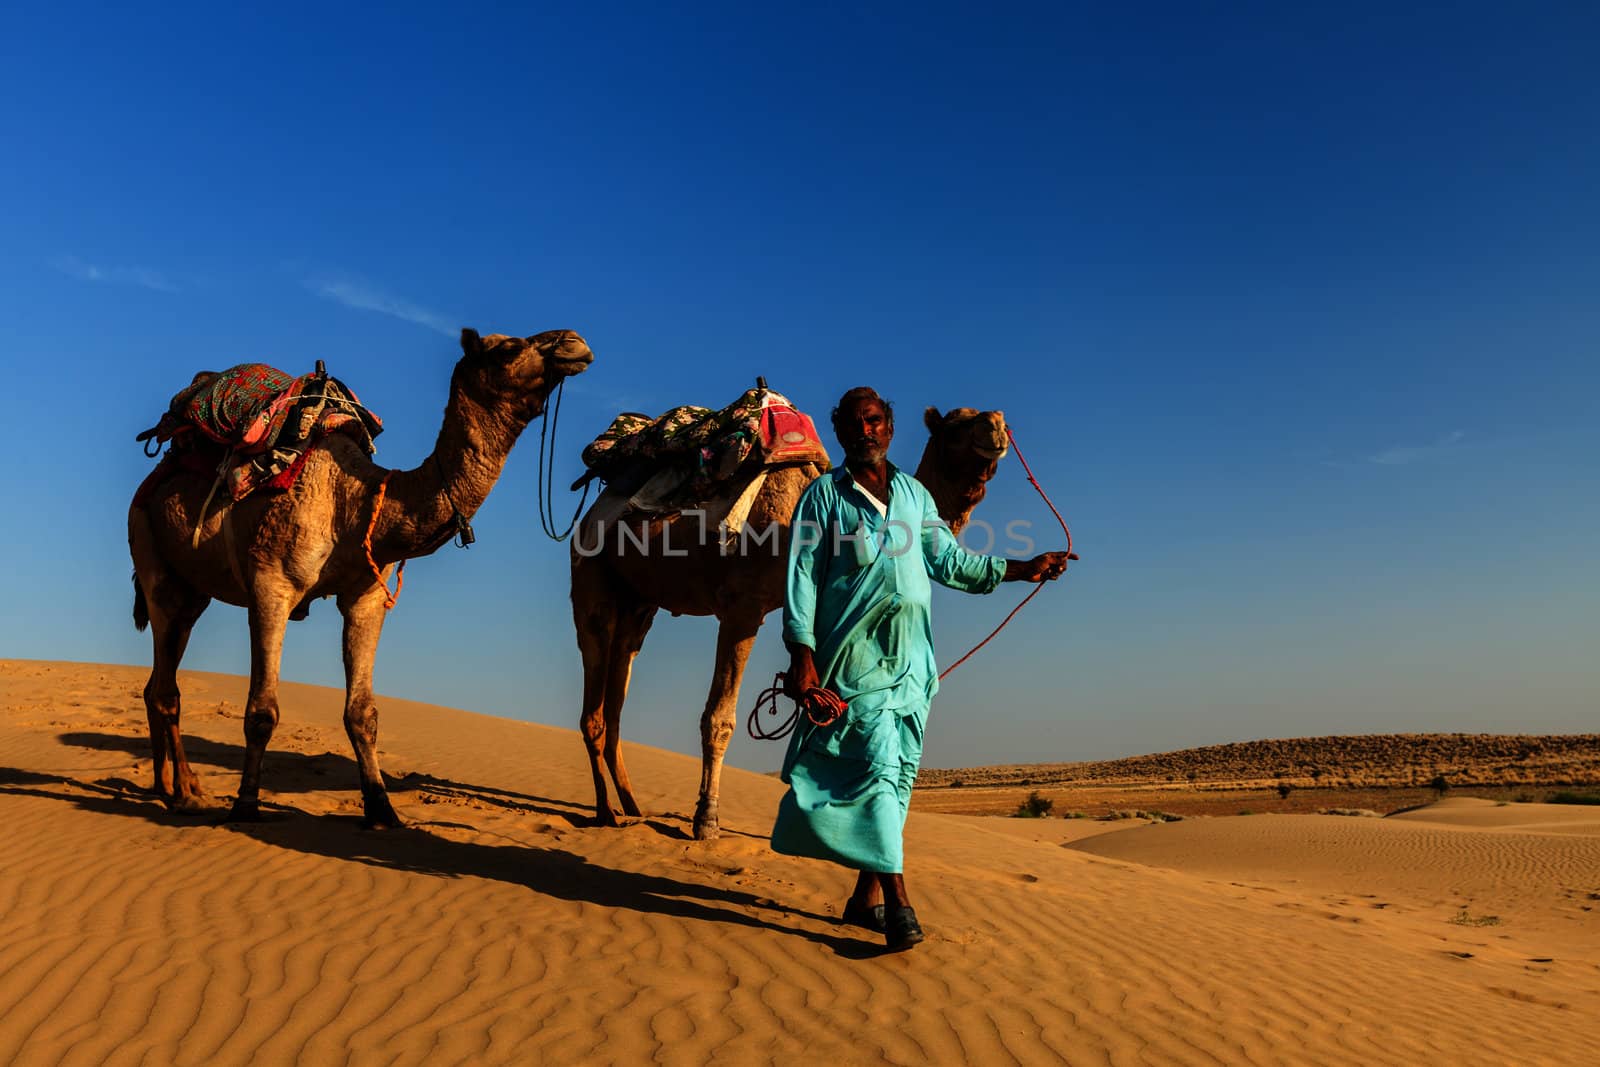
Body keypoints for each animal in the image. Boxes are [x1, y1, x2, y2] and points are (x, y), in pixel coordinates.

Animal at [131, 329, 595, 831]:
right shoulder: (271, 586)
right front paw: (246, 805)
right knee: (166, 686)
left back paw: (169, 787)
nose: (574, 342)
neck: (355, 500)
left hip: (192, 591)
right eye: (507, 348)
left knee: (158, 681)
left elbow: (362, 713)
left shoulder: (365, 596)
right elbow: (262, 711)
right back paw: (187, 794)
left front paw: (381, 809)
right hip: (151, 555)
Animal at [569, 404, 1004, 838]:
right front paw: (706, 819)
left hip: (639, 602)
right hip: (591, 574)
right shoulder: (743, 608)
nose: (996, 425)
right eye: (955, 426)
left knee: (620, 682)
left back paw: (631, 806)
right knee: (594, 690)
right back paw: (605, 812)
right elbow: (719, 718)